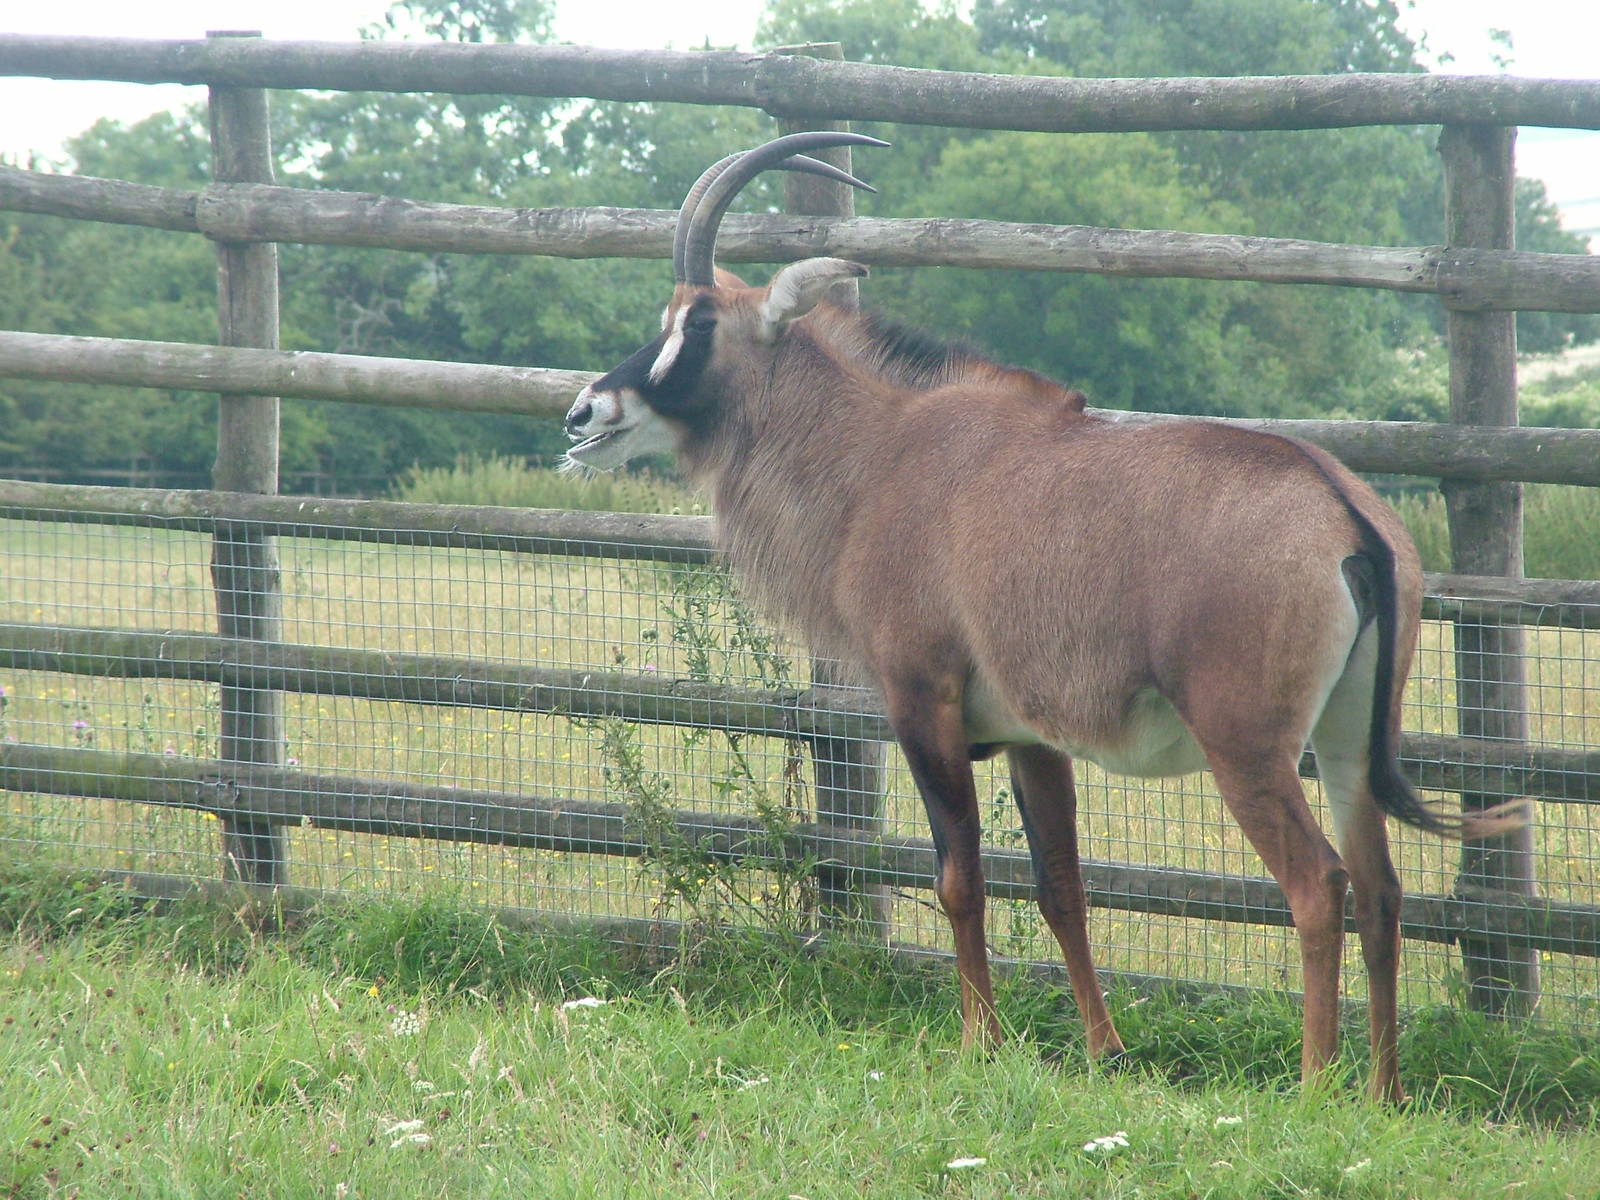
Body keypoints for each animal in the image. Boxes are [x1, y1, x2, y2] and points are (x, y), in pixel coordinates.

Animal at [562, 132, 1528, 1101]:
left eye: (696, 323)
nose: (583, 412)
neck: (881, 454)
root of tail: (1343, 513)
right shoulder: (1032, 738)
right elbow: (1061, 884)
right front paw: (1106, 1050)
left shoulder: (924, 702)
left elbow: (960, 879)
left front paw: (977, 1044)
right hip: (1343, 744)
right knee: (1381, 888)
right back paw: (1382, 1093)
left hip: (1248, 748)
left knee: (1318, 886)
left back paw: (1315, 1083)